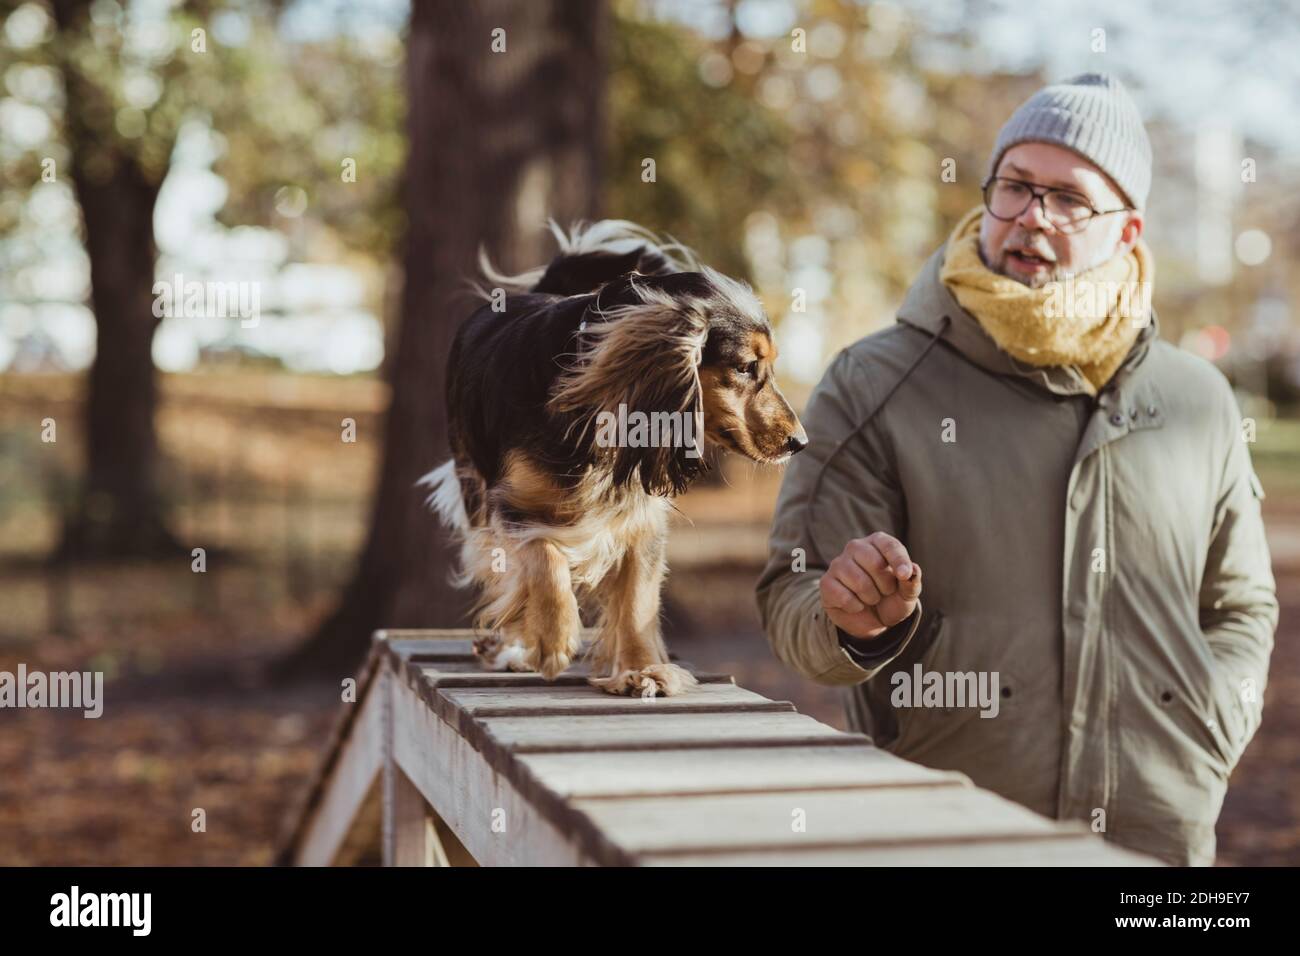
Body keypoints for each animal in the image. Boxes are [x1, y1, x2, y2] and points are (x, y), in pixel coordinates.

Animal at [418, 221, 800, 697]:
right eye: (747, 367)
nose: (799, 441)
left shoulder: (640, 515)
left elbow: (636, 599)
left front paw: (642, 668)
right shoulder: (508, 504)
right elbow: (541, 555)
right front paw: (553, 636)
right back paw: (518, 645)